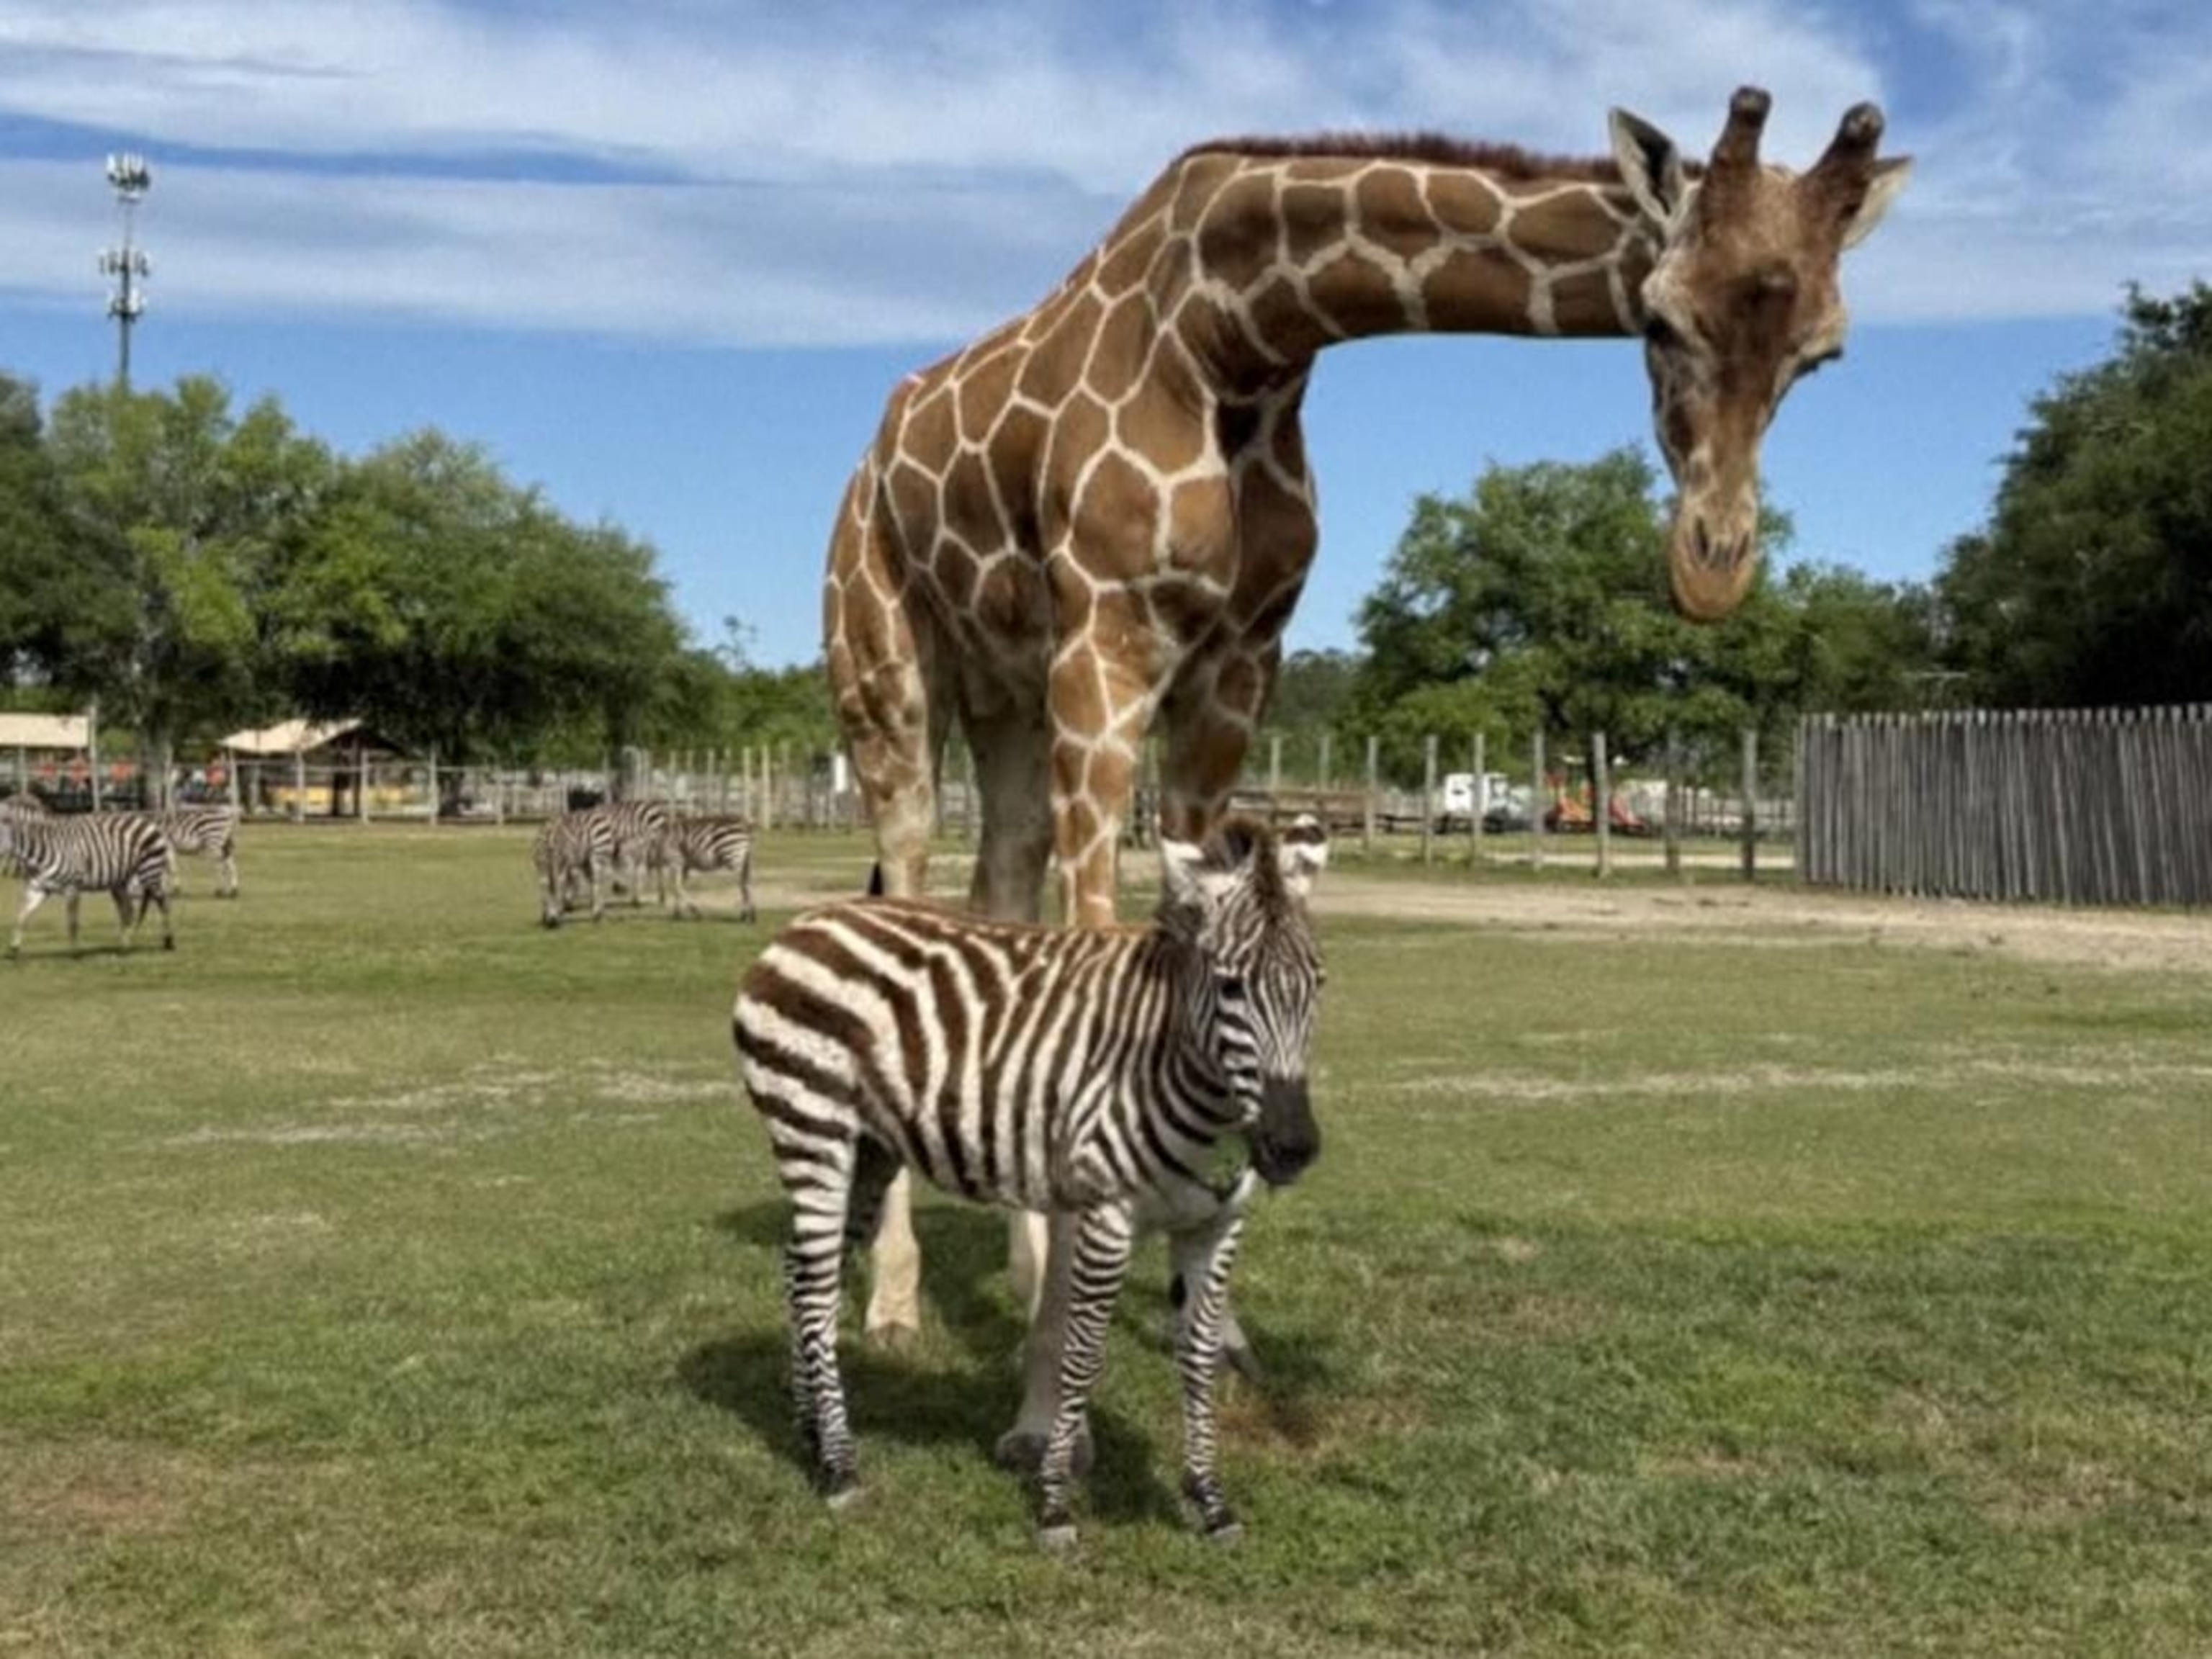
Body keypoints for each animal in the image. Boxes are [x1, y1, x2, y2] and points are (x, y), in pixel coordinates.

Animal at [0, 809, 177, 958]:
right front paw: (14, 948)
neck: (38, 854)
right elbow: (22, 916)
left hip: (149, 870)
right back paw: (124, 946)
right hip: (119, 882)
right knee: (128, 910)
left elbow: (72, 922)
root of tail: (146, 820)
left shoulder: (72, 888)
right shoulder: (38, 888)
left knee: (163, 903)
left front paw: (75, 953)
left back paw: (168, 942)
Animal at [531, 809, 615, 927]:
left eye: (558, 898)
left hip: (598, 854)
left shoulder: (563, 864)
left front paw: (559, 913)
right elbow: (544, 884)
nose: (552, 922)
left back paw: (597, 914)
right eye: (546, 898)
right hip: (585, 860)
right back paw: (594, 910)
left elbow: (563, 884)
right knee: (592, 882)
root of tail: (597, 814)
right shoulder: (542, 866)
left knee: (597, 882)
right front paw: (545, 916)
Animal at [670, 815, 756, 922]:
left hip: (734, 857)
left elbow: (677, 886)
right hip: (743, 860)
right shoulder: (684, 864)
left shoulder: (674, 860)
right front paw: (678, 913)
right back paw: (749, 915)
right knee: (747, 882)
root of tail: (745, 825)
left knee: (743, 884)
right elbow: (679, 885)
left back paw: (747, 915)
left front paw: (684, 912)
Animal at [733, 816, 1328, 1550]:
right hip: (810, 1128)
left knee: (800, 1271)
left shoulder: (1213, 1227)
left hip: (869, 1151)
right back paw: (841, 1467)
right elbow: (1083, 1353)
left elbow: (1197, 1356)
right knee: (816, 1289)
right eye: (1231, 987)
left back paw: (809, 1435)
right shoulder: (1106, 1216)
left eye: (1317, 984)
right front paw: (1054, 1504)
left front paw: (1210, 1500)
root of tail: (808, 922)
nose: (1291, 1148)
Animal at [821, 88, 1909, 1464]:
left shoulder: (1239, 662)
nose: (1711, 567)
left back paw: (1013, 1270)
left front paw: (1205, 1321)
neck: (1240, 336)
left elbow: (1193, 926)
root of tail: (870, 455)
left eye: (1825, 351)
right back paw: (897, 1299)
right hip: (888, 669)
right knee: (910, 880)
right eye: (1660, 315)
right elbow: (1104, 937)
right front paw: (1037, 1397)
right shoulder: (1106, 644)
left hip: (1002, 691)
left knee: (995, 887)